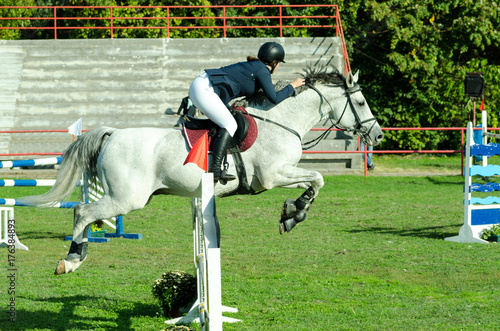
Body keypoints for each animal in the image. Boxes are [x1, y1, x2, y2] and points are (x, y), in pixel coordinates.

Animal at [20, 67, 382, 274]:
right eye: (360, 103)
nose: (378, 135)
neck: (281, 121)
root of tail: (113, 134)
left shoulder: (281, 174)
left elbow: (315, 181)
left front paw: (292, 212)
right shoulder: (273, 175)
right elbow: (317, 178)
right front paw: (294, 214)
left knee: (85, 212)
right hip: (127, 199)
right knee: (82, 211)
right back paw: (71, 259)